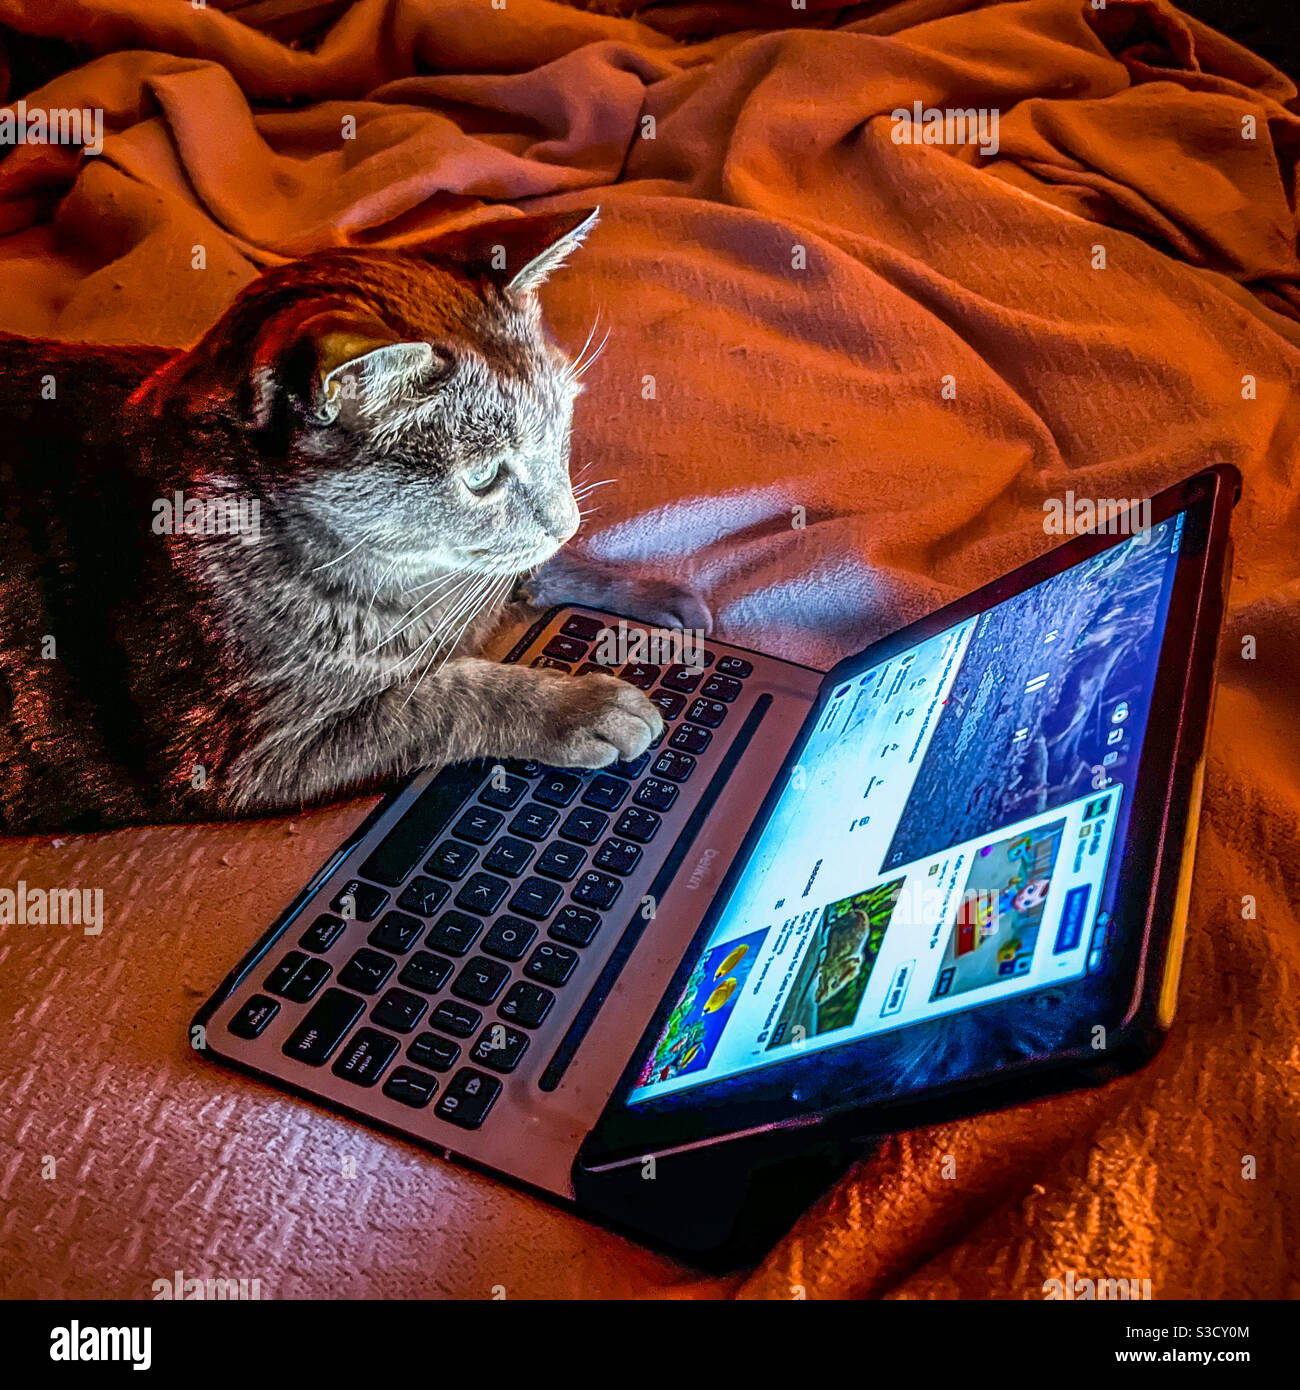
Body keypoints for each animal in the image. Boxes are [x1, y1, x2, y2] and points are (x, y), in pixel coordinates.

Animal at [0, 207, 711, 834]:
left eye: (562, 426)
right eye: (482, 476)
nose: (567, 519)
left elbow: (530, 572)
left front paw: (654, 596)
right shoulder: (256, 755)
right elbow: (451, 695)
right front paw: (578, 703)